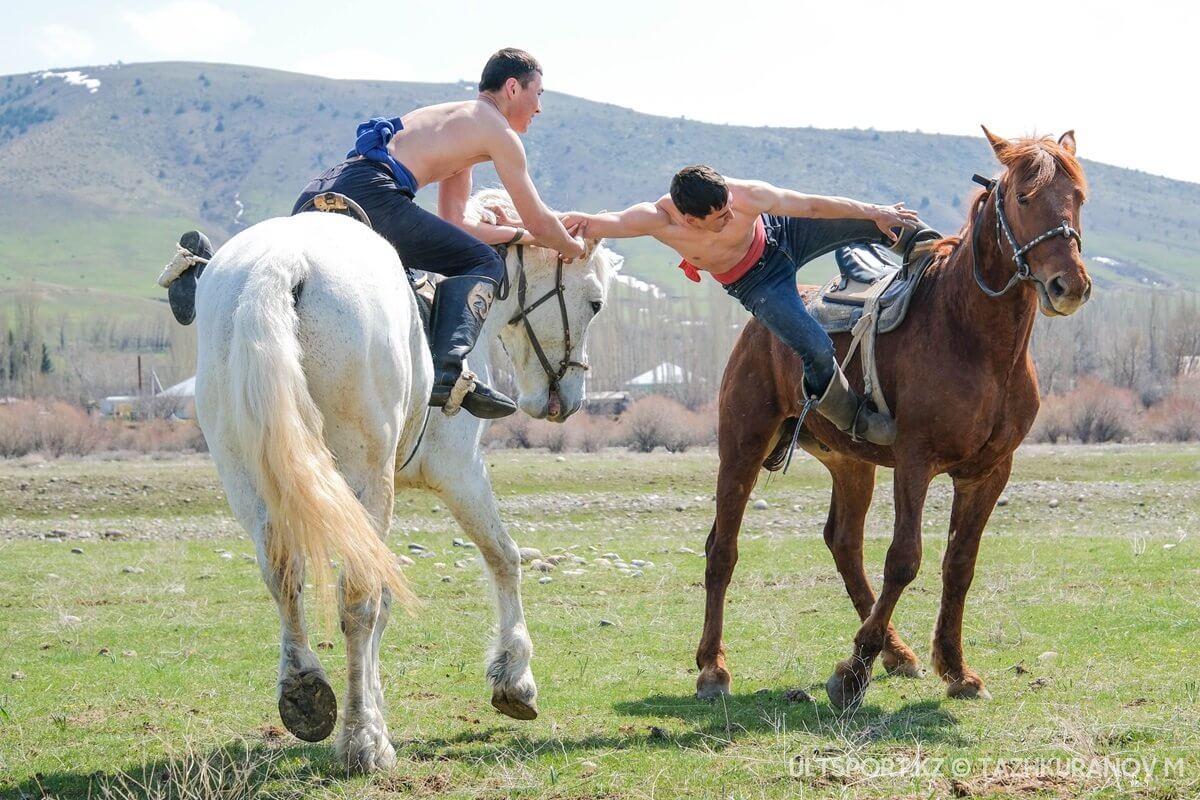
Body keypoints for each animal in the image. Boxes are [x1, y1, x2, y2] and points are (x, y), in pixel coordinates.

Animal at [195, 190, 614, 772]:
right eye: (594, 303)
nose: (567, 400)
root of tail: (280, 264)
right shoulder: (459, 471)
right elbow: (503, 557)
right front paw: (514, 679)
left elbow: (387, 598)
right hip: (365, 477)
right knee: (357, 599)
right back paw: (362, 741)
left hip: (249, 476)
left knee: (284, 577)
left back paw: (307, 695)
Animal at [700, 128, 1094, 710]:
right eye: (1024, 198)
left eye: (1079, 198)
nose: (1069, 285)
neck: (974, 339)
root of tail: (757, 323)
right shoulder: (915, 461)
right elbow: (905, 559)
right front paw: (852, 673)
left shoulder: (989, 472)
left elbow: (959, 564)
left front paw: (954, 668)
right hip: (743, 446)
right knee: (722, 549)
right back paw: (713, 667)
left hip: (851, 464)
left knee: (844, 543)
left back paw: (895, 650)